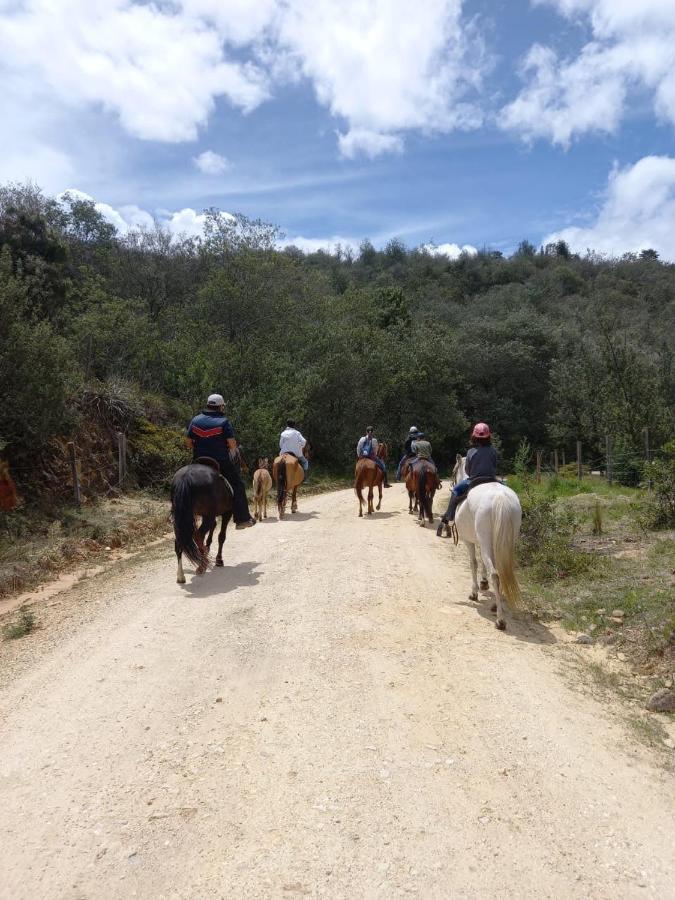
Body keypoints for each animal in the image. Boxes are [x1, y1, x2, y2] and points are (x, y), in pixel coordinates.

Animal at [452, 454, 524, 628]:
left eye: (453, 471)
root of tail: (500, 498)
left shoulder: (469, 541)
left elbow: (474, 563)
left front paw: (474, 592)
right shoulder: (484, 543)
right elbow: (482, 562)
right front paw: (484, 583)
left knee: (496, 574)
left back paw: (500, 619)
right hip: (506, 544)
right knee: (504, 570)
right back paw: (496, 606)